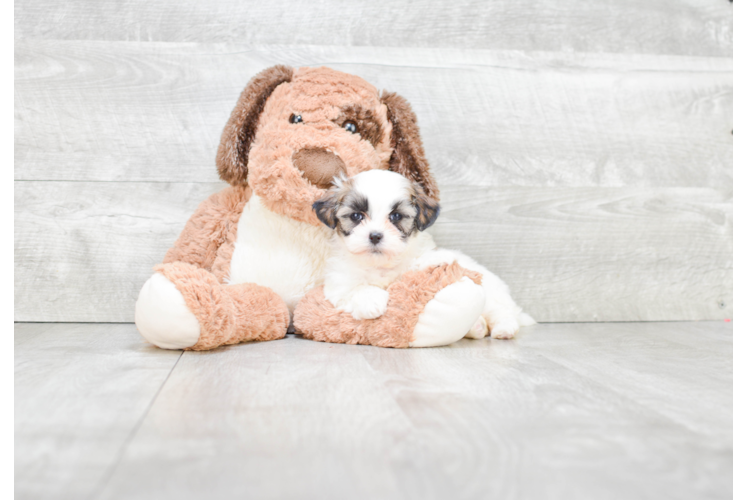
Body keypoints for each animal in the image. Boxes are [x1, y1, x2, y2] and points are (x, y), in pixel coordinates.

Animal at [312, 170, 536, 338]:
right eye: (357, 216)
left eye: (396, 216)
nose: (375, 236)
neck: (381, 264)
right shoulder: (340, 283)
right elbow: (357, 288)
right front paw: (371, 301)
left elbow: (418, 261)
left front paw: (438, 258)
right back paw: (476, 328)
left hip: (492, 296)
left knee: (502, 312)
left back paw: (504, 329)